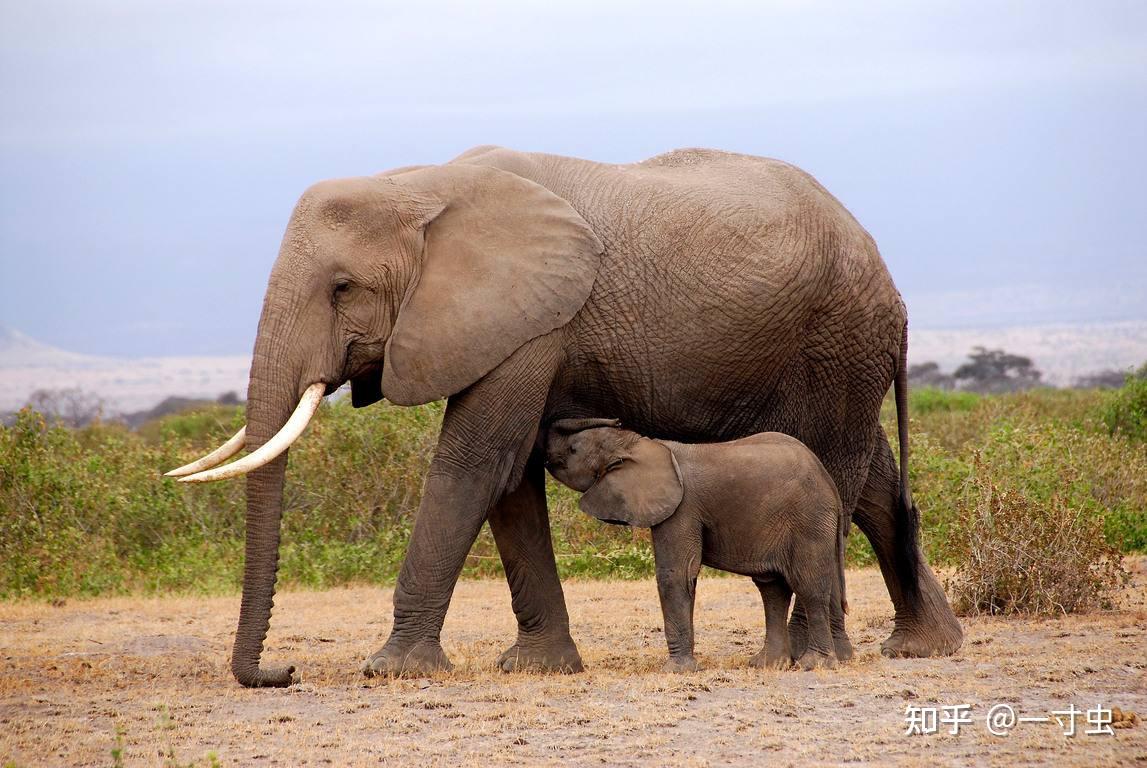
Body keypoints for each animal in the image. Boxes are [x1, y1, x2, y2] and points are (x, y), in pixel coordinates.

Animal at [545, 421, 853, 674]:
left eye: (573, 449)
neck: (643, 444)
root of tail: (829, 481)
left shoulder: (682, 508)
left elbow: (676, 574)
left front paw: (675, 671)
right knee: (773, 588)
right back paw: (768, 664)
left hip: (808, 519)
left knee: (808, 584)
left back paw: (814, 664)